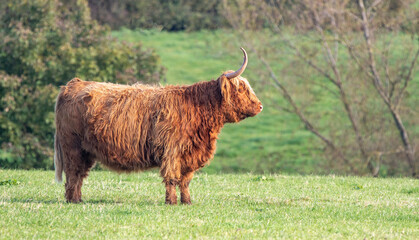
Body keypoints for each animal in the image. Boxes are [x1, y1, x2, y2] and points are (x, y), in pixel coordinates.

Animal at [53, 47, 262, 204]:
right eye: (242, 89)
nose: (260, 106)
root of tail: (73, 84)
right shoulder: (172, 150)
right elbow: (172, 177)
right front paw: (171, 202)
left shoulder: (189, 154)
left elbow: (185, 181)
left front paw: (187, 201)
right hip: (72, 146)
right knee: (73, 173)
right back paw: (73, 200)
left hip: (86, 150)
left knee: (80, 174)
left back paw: (78, 199)